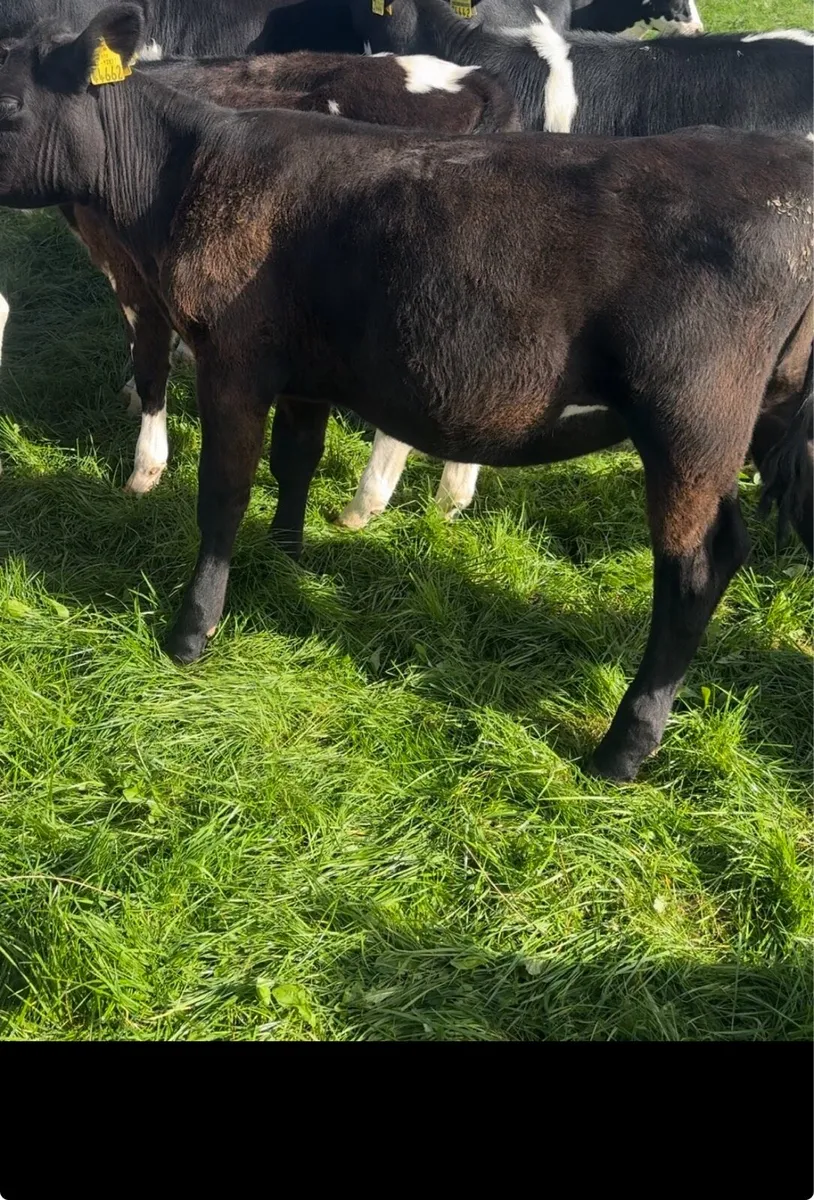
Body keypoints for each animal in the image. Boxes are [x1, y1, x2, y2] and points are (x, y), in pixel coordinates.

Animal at [0, 4, 811, 782]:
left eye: (9, 104)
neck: (188, 167)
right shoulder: (305, 366)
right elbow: (296, 459)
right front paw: (287, 554)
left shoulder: (232, 361)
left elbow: (222, 496)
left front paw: (191, 631)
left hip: (692, 426)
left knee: (694, 571)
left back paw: (622, 748)